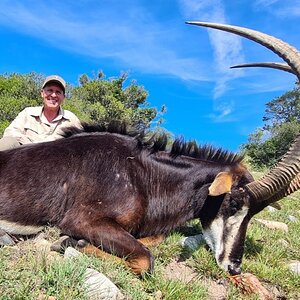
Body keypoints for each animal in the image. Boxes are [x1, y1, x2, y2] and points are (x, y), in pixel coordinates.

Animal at [0, 22, 298, 276]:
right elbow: (145, 258)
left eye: (254, 213)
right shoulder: (82, 220)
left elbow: (154, 240)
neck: (140, 172)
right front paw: (70, 243)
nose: (234, 267)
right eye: (234, 202)